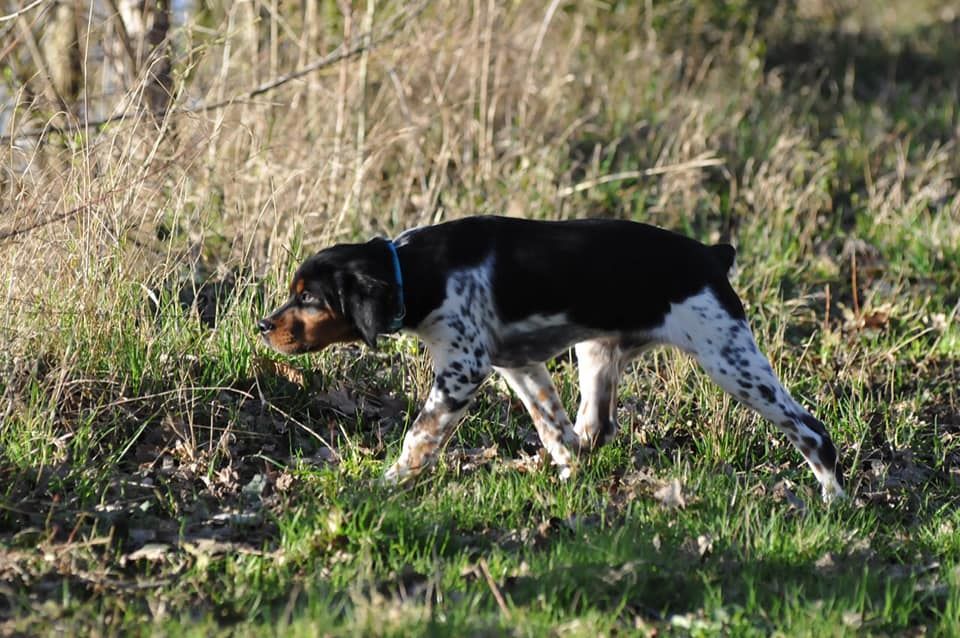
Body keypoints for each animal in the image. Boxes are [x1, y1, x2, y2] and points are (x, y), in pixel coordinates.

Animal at [258, 218, 844, 502]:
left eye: (309, 298)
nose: (264, 327)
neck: (418, 271)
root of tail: (711, 255)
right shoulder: (518, 365)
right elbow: (552, 428)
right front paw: (565, 475)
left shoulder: (463, 368)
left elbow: (420, 435)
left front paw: (388, 483)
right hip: (597, 353)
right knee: (595, 428)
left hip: (729, 359)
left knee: (811, 429)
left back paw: (833, 497)